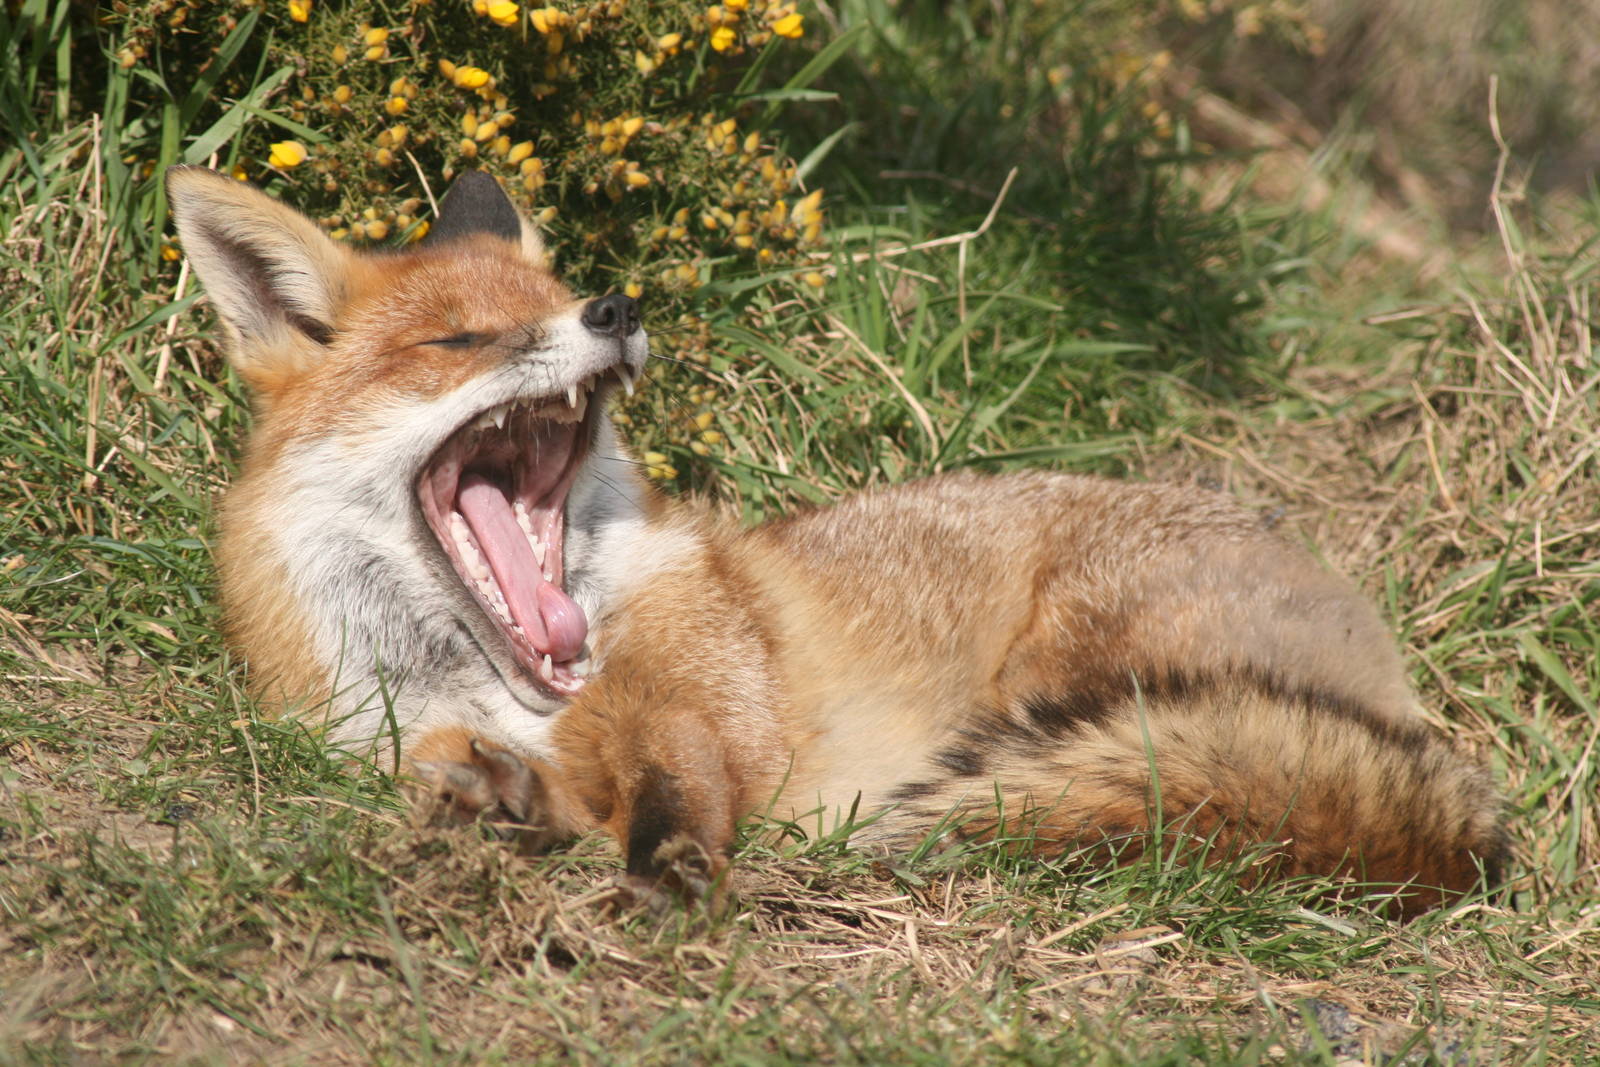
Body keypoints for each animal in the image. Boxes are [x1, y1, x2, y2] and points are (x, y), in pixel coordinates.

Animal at [166, 165, 1507, 916]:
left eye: (555, 305)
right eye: (456, 342)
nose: (615, 306)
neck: (511, 686)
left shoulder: (715, 708)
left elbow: (679, 785)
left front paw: (673, 868)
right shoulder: (401, 738)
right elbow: (528, 785)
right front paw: (516, 805)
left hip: (1070, 675)